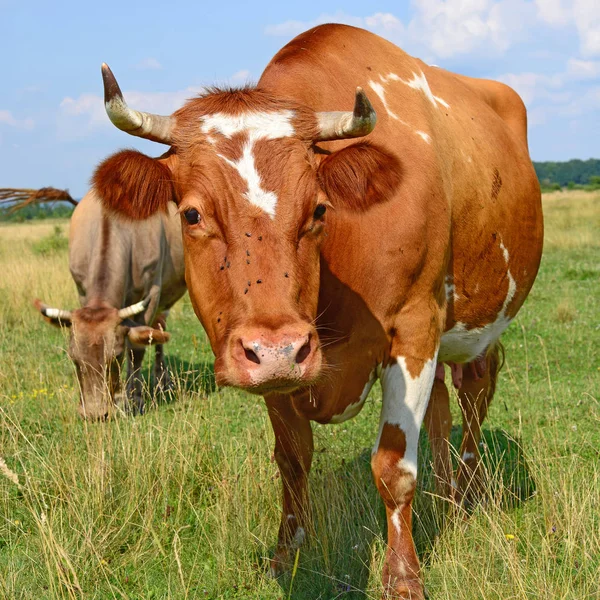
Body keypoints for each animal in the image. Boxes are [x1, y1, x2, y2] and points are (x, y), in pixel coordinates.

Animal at [35, 190, 185, 420]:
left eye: (116, 356)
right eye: (74, 358)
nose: (95, 414)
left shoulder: (152, 292)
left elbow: (137, 349)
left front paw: (134, 399)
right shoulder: (82, 290)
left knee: (158, 332)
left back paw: (162, 382)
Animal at [92, 24, 544, 600]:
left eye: (320, 208)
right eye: (191, 214)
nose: (279, 350)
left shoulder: (414, 327)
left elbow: (393, 467)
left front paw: (403, 577)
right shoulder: (272, 365)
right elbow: (291, 460)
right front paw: (286, 555)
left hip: (478, 323)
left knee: (475, 390)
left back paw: (467, 495)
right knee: (444, 403)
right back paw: (445, 495)